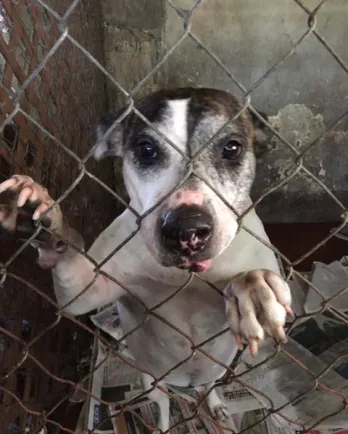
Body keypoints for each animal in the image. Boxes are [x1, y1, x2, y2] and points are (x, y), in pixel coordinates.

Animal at [0, 87, 290, 430]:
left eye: (232, 148)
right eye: (147, 149)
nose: (187, 228)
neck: (183, 275)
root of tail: (184, 381)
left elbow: (251, 279)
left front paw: (253, 287)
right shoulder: (88, 289)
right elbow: (74, 276)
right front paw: (41, 214)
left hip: (218, 368)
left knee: (207, 387)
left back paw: (216, 405)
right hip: (151, 381)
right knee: (163, 404)